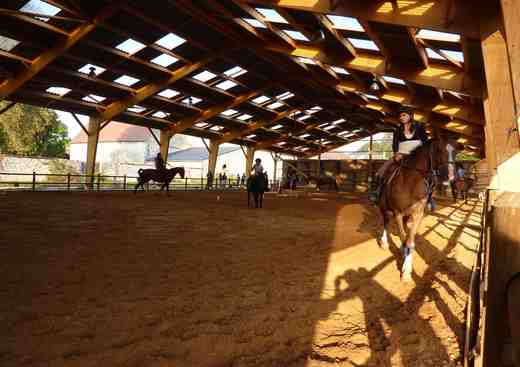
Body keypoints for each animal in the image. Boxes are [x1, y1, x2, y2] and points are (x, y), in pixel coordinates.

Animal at [376, 140, 448, 282]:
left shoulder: (417, 215)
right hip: (384, 207)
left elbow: (410, 241)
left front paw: (407, 270)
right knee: (386, 222)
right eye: (438, 150)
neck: (410, 183)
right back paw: (385, 243)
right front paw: (405, 269)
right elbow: (404, 237)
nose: (448, 176)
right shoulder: (398, 213)